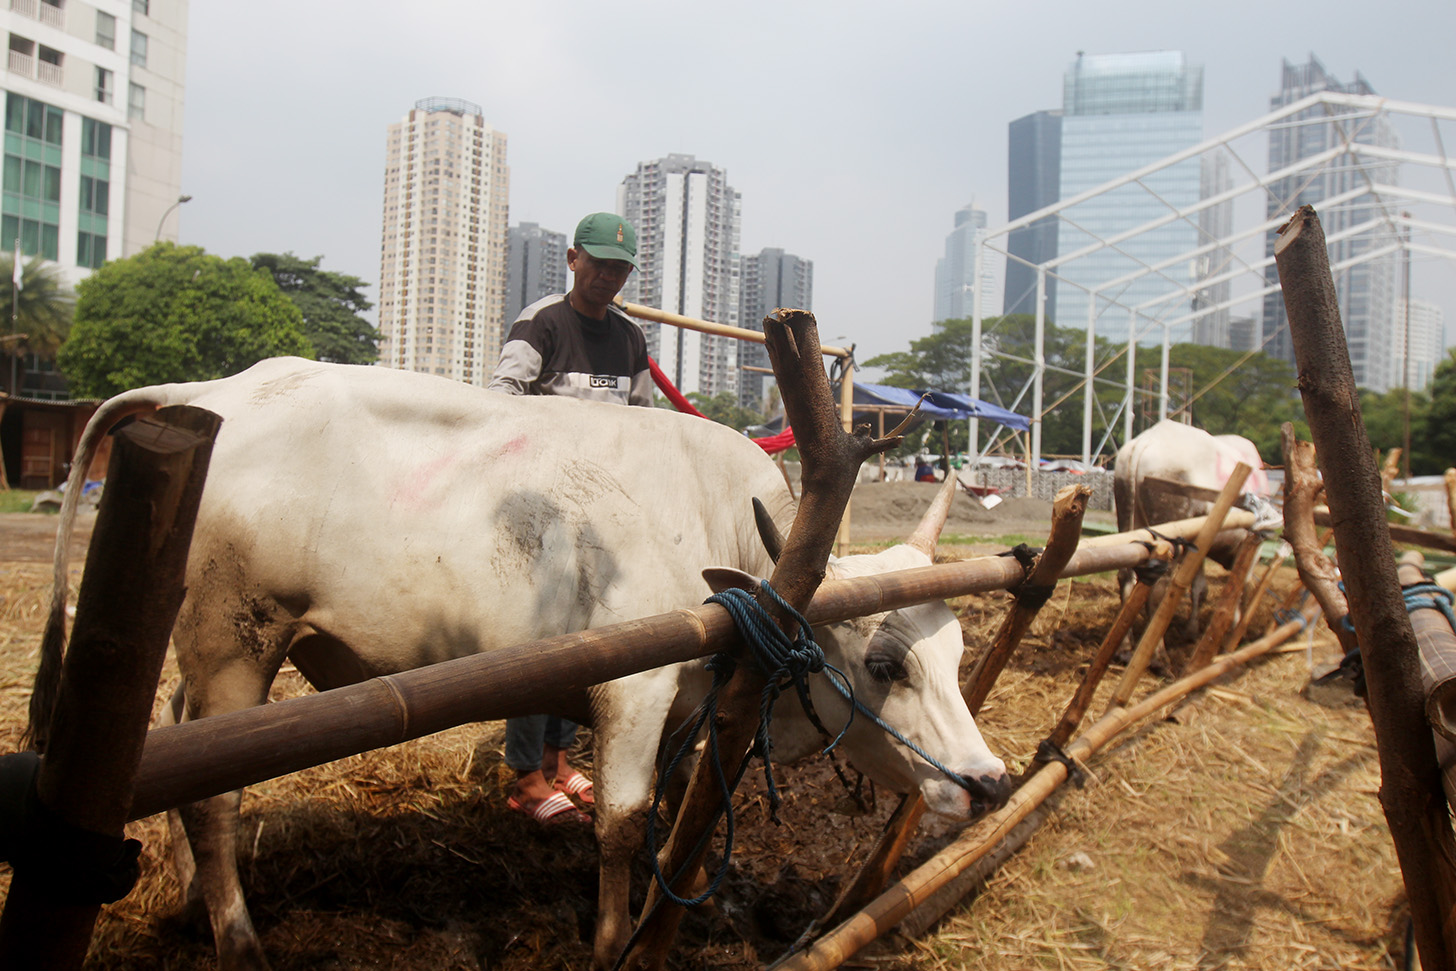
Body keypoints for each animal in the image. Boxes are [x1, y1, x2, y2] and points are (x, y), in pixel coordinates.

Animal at [34, 359, 1013, 971]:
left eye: (958, 649)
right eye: (884, 662)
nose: (990, 781)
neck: (730, 538)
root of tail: (211, 390)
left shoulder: (687, 708)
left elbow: (675, 808)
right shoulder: (635, 686)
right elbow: (619, 822)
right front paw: (616, 940)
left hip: (207, 648)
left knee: (179, 739)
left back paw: (182, 901)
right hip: (238, 637)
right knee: (216, 797)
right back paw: (238, 939)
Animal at [1106, 422, 1269, 658]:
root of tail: (1144, 442)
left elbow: (1200, 588)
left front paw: (1191, 631)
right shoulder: (1253, 542)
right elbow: (1240, 586)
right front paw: (1231, 634)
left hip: (1129, 520)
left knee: (1126, 577)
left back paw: (1125, 645)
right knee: (1158, 587)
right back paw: (1158, 654)